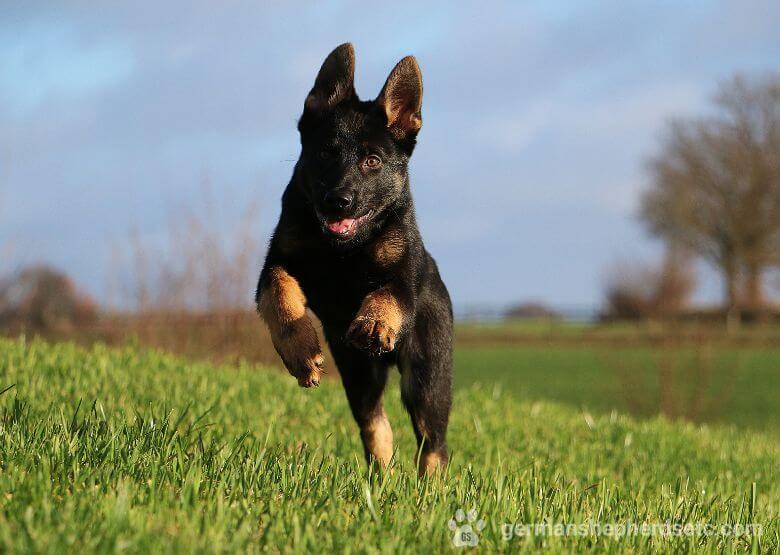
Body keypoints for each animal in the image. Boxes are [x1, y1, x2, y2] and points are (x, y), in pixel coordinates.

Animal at [256, 44, 450, 478]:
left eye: (372, 161)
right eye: (325, 153)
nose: (338, 201)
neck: (343, 250)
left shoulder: (401, 280)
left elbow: (387, 295)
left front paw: (375, 322)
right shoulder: (277, 263)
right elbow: (280, 296)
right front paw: (300, 352)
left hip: (427, 376)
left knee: (434, 442)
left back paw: (432, 485)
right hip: (358, 374)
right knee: (376, 422)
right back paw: (382, 474)